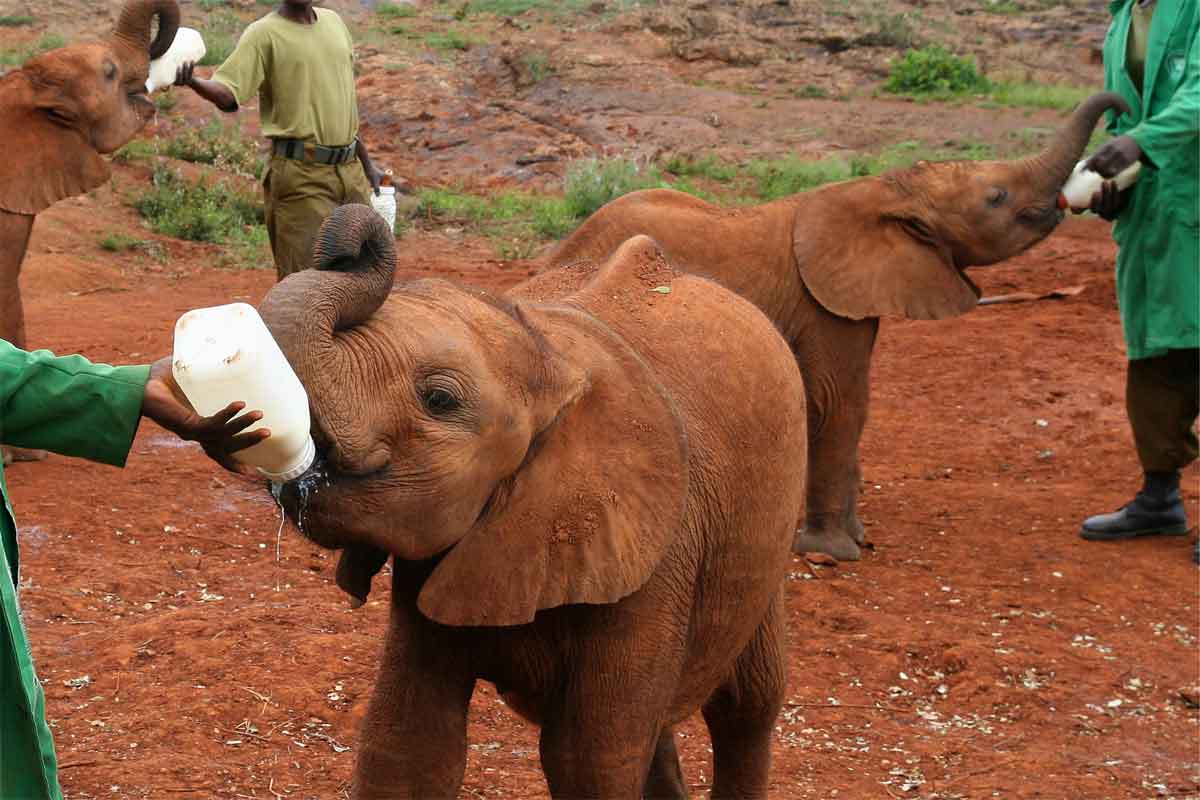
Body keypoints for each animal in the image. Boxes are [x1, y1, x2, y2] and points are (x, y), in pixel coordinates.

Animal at [262, 203, 806, 796]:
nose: (353, 243)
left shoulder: (656, 559)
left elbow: (588, 760)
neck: (551, 353)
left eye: (439, 399)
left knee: (746, 706)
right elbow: (408, 742)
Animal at [544, 89, 1123, 563]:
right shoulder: (819, 302)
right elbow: (837, 401)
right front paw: (834, 554)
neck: (884, 191)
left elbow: (854, 404)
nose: (1119, 114)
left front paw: (857, 537)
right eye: (996, 197)